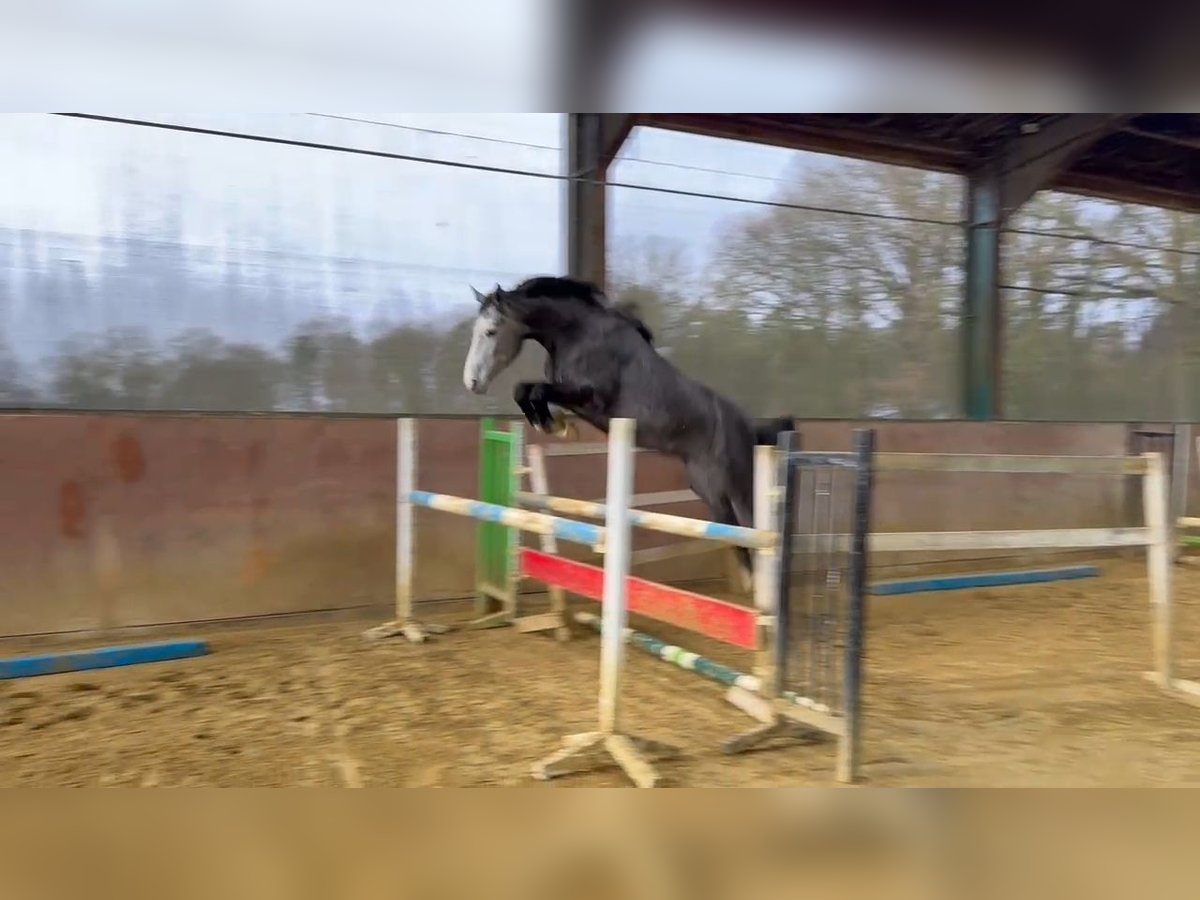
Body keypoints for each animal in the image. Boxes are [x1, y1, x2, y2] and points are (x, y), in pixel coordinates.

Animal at [462, 275, 794, 591]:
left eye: (491, 332)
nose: (472, 383)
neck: (576, 332)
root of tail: (749, 428)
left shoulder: (590, 395)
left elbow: (537, 390)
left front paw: (554, 426)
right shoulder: (574, 399)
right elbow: (525, 390)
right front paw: (554, 425)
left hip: (738, 487)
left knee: (754, 526)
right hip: (710, 489)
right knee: (736, 532)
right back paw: (750, 584)